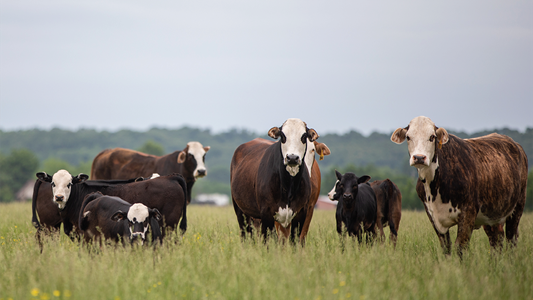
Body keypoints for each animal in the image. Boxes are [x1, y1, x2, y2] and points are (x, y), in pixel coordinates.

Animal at [390, 115, 528, 255]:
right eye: (408, 137)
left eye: (432, 137)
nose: (419, 157)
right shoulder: (433, 216)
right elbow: (446, 247)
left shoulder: (468, 213)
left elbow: (460, 247)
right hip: (492, 216)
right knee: (496, 241)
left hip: (517, 207)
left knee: (511, 239)